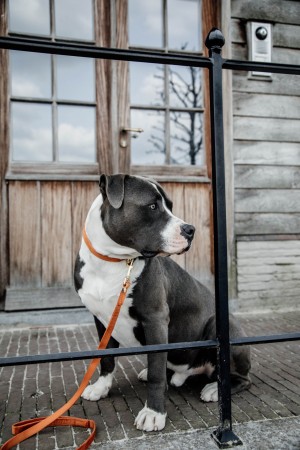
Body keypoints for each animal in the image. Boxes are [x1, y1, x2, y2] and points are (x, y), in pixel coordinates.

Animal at [74, 174, 251, 430]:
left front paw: (154, 412)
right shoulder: (101, 320)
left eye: (171, 206)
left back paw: (215, 389)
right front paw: (101, 387)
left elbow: (157, 375)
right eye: (152, 206)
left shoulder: (155, 319)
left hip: (220, 326)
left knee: (242, 378)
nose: (190, 229)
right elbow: (106, 358)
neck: (113, 261)